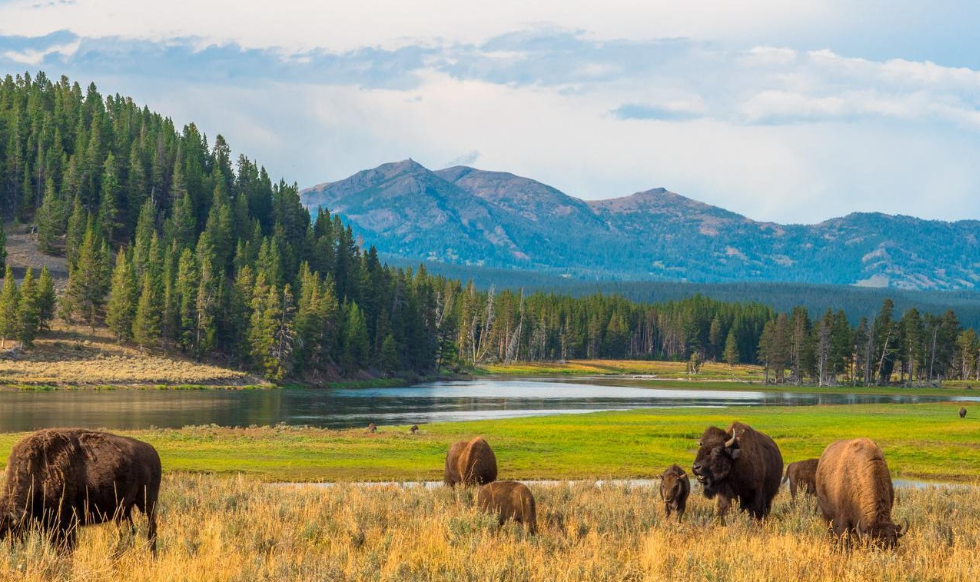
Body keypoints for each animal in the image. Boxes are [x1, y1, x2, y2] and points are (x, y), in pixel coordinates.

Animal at [0, 432, 161, 556]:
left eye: (8, 531)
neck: (38, 471)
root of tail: (152, 450)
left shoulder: (66, 522)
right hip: (124, 511)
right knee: (129, 531)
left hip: (147, 503)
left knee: (151, 529)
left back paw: (151, 553)